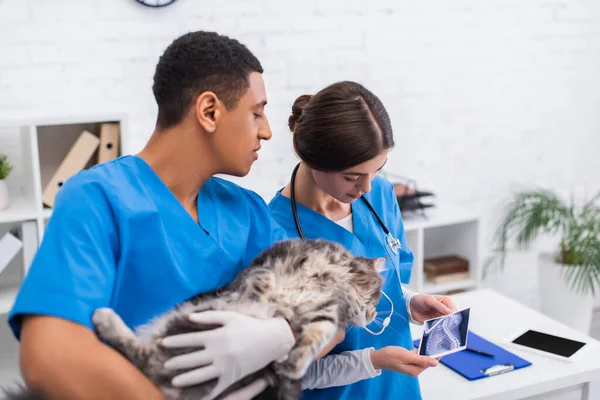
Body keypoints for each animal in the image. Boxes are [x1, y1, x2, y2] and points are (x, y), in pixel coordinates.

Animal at [3, 239, 384, 398]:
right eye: (379, 296)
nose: (374, 317)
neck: (328, 273)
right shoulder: (266, 265)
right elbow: (258, 281)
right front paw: (263, 294)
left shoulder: (324, 315)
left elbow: (313, 340)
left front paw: (291, 363)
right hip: (195, 323)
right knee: (141, 354)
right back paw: (104, 316)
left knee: (143, 355)